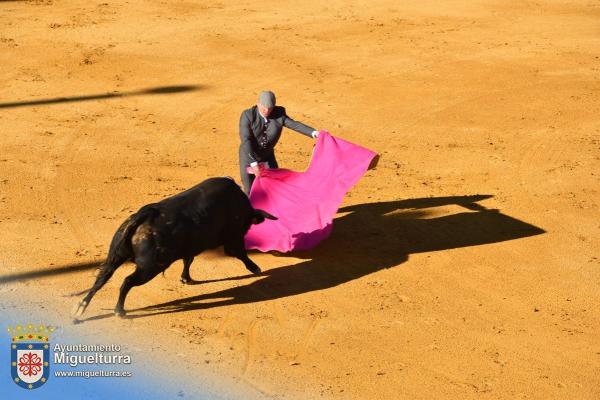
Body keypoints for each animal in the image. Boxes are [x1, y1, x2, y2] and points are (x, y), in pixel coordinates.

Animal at [72, 177, 276, 318]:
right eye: (247, 226)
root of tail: (142, 216)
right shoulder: (233, 238)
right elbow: (240, 253)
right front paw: (255, 268)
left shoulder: (190, 246)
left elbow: (188, 260)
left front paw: (186, 278)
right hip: (150, 267)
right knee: (127, 281)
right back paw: (119, 311)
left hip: (116, 256)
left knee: (101, 278)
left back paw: (80, 308)